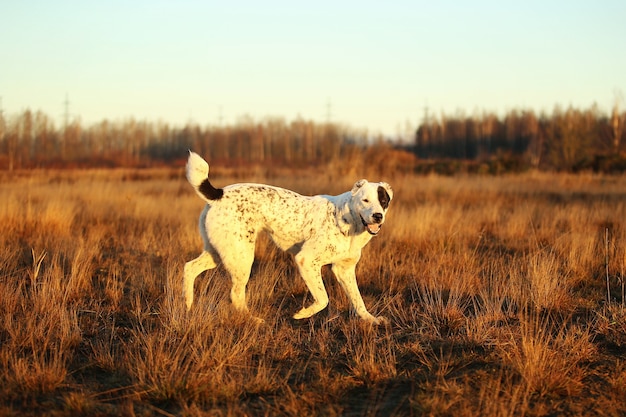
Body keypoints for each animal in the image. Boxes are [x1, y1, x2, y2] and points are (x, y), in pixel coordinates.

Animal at [183, 151, 392, 324]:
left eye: (383, 201)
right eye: (365, 200)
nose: (377, 216)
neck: (347, 218)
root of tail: (218, 193)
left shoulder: (344, 269)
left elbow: (358, 300)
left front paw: (370, 319)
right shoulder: (306, 261)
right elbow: (323, 298)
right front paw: (303, 313)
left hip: (219, 252)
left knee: (189, 268)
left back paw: (188, 305)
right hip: (241, 258)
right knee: (235, 294)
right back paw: (252, 320)